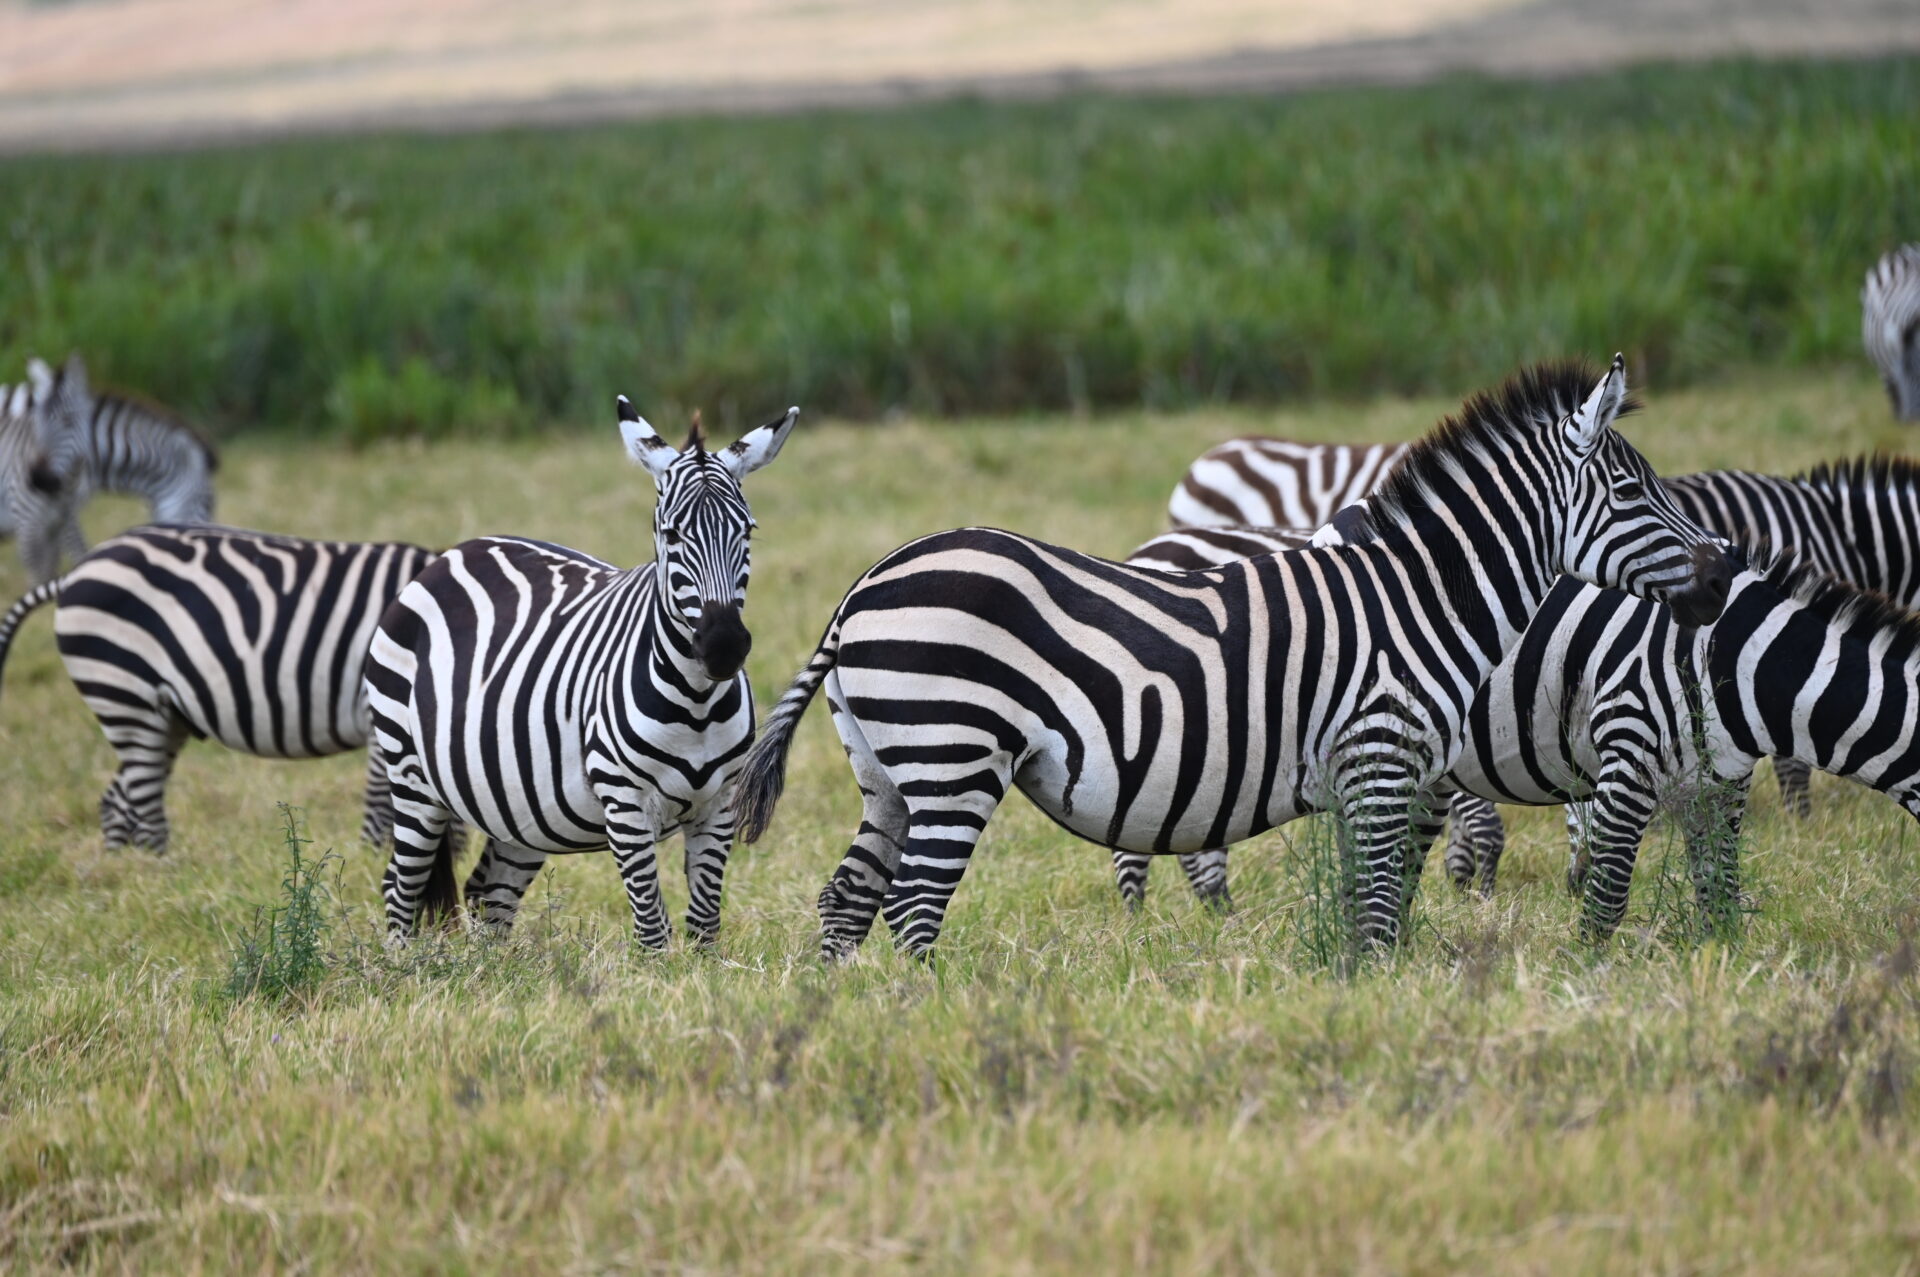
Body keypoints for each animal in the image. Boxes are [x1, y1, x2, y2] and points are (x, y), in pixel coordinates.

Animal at [0, 524, 439, 852]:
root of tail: (75, 572)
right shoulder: (381, 716)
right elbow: (386, 809)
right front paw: (374, 858)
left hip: (164, 714)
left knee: (117, 802)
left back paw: (120, 876)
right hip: (123, 692)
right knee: (144, 806)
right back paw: (162, 880)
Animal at [364, 399, 800, 947]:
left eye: (747, 530)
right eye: (671, 534)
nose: (723, 647)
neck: (696, 701)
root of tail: (454, 553)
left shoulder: (719, 806)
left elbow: (704, 926)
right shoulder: (625, 803)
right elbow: (652, 930)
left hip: (520, 809)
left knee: (488, 893)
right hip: (412, 776)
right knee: (400, 886)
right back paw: (400, 963)